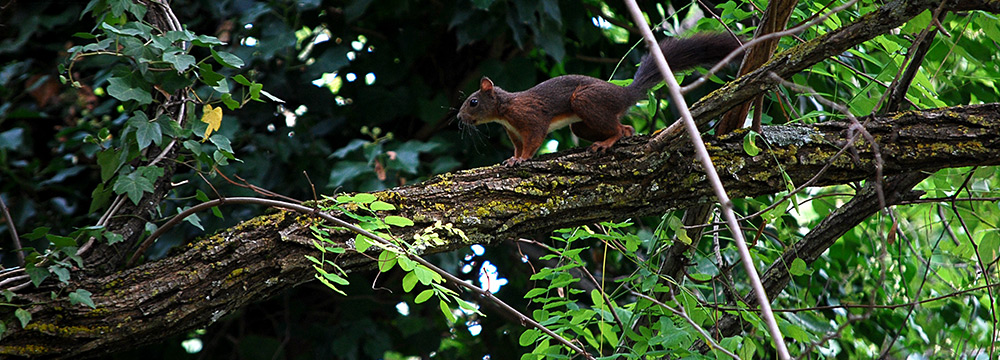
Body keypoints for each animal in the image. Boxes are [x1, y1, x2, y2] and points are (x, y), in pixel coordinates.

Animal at [458, 33, 744, 165]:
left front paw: (522, 159)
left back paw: (607, 142)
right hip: (581, 124)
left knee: (617, 128)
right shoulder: (513, 132)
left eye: (473, 102)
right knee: (624, 128)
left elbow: (533, 139)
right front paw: (512, 159)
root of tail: (624, 93)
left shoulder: (529, 117)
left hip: (585, 100)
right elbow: (517, 146)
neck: (504, 111)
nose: (459, 117)